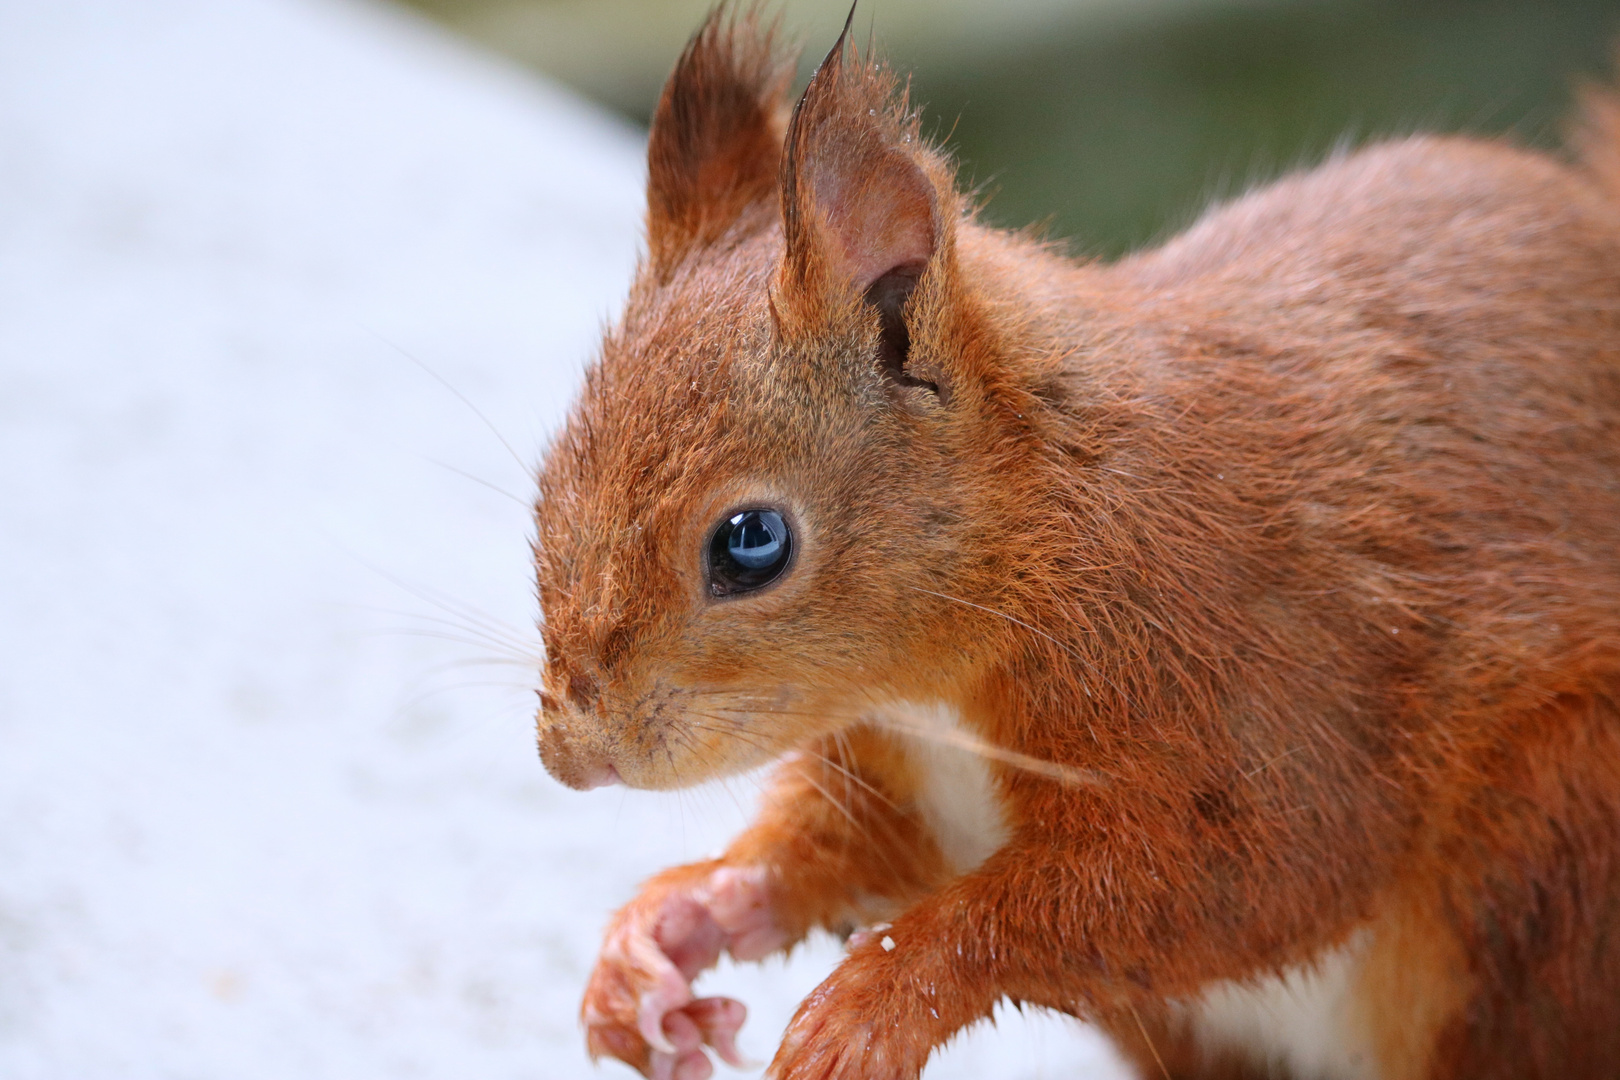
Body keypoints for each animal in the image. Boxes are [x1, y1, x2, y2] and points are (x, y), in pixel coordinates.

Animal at [531, 10, 1620, 1080]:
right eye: (548, 482)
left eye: (751, 542)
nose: (569, 760)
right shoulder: (905, 781)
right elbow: (835, 852)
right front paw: (665, 933)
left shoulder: (1262, 695)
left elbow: (1231, 879)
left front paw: (878, 998)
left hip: (1548, 838)